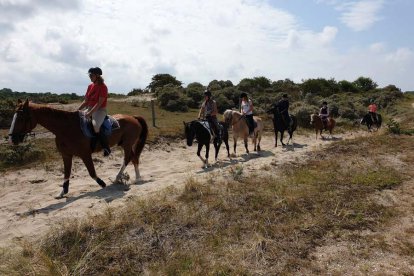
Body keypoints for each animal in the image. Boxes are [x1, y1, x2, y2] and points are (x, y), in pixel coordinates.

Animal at [8, 99, 149, 198]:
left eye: (21, 118)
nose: (12, 139)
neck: (66, 128)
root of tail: (133, 117)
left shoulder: (85, 154)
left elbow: (91, 172)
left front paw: (102, 184)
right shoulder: (66, 155)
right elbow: (66, 173)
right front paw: (62, 192)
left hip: (127, 144)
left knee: (128, 158)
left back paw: (120, 178)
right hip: (126, 144)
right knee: (134, 157)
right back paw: (136, 177)